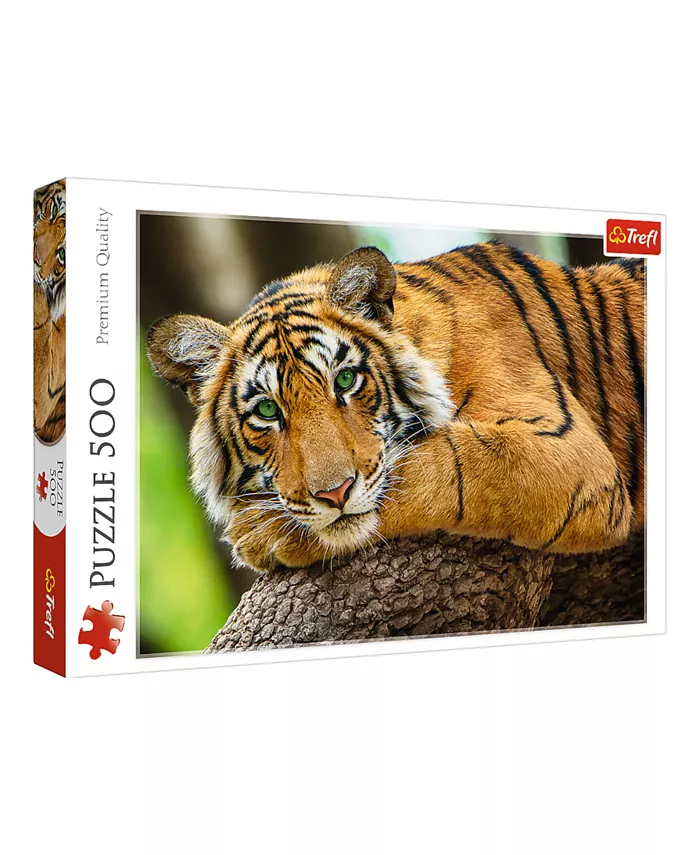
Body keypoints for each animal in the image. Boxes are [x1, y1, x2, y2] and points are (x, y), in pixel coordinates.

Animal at [147, 241, 645, 574]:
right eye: (268, 411)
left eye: (345, 380)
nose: (334, 494)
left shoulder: (569, 451)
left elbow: (442, 465)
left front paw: (259, 533)